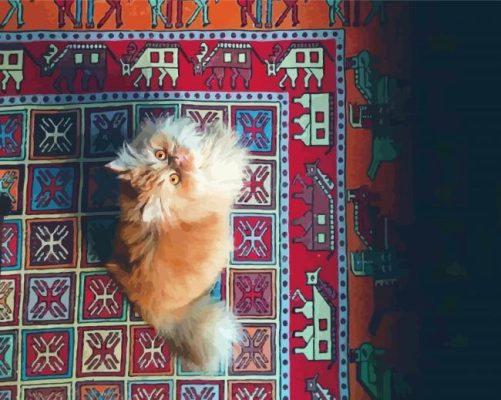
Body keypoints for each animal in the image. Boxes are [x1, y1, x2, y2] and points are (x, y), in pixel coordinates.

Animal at [105, 118, 246, 372]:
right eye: (174, 179)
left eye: (160, 155)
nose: (177, 159)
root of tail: (152, 310)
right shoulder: (219, 172)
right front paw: (220, 132)